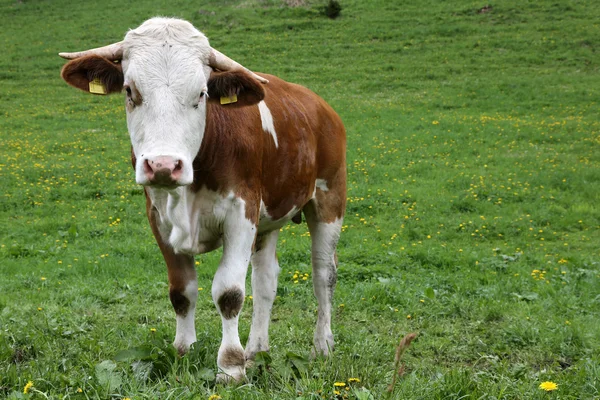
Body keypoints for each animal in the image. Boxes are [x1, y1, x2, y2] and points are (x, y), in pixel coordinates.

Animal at [59, 18, 346, 382]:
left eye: (201, 93)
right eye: (129, 91)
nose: (163, 165)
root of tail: (322, 107)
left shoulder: (241, 214)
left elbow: (229, 292)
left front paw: (231, 366)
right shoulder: (159, 218)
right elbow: (182, 292)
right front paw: (184, 352)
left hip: (329, 199)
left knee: (323, 274)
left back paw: (321, 346)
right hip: (269, 220)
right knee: (265, 280)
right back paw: (257, 351)